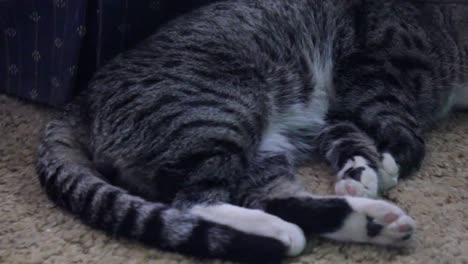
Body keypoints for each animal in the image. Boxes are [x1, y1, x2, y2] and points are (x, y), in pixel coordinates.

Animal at [37, 0, 468, 262]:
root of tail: (80, 101)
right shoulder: (369, 68)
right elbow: (399, 123)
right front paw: (390, 162)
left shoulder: (337, 111)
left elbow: (350, 136)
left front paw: (361, 173)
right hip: (222, 110)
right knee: (194, 201)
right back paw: (278, 234)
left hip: (262, 147)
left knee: (274, 197)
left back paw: (374, 222)